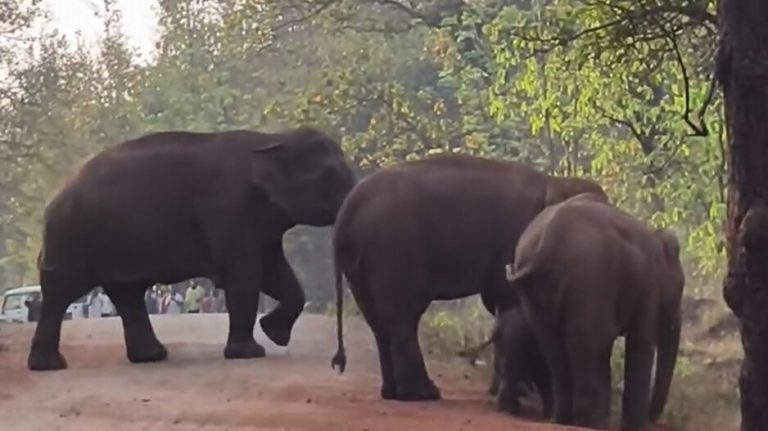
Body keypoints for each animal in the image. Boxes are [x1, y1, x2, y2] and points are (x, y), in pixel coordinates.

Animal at [28, 126, 356, 371]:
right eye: (330, 176)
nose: (338, 362)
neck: (272, 139)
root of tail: (56, 195)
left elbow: (276, 274)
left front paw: (274, 334)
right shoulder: (229, 208)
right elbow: (245, 274)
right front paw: (250, 352)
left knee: (127, 293)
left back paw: (152, 357)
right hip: (71, 240)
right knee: (61, 291)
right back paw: (49, 366)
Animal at [329, 153, 607, 401]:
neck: (553, 182)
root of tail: (346, 210)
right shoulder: (514, 239)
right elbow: (507, 298)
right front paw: (521, 390)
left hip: (361, 260)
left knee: (378, 320)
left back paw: (393, 393)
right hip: (393, 247)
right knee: (402, 314)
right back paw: (422, 394)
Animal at [506, 192, 684, 431]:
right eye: (680, 288)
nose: (654, 417)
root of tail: (547, 241)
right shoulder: (649, 286)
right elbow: (641, 341)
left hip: (534, 291)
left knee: (554, 344)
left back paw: (562, 419)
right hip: (588, 277)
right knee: (586, 341)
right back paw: (590, 423)